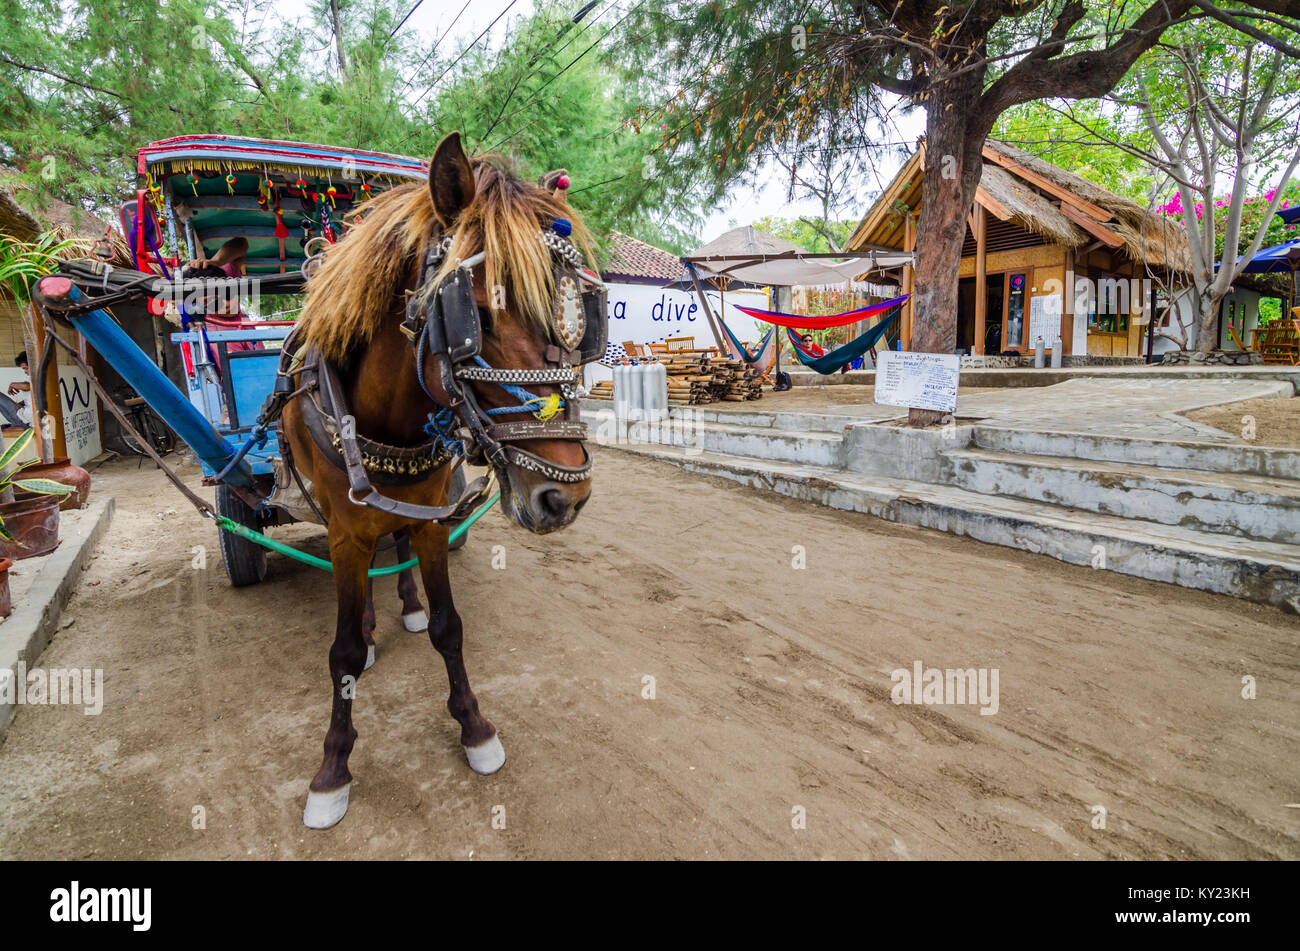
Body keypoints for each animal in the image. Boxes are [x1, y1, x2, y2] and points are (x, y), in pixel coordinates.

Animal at [284, 129, 598, 826]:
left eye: (579, 322)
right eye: (471, 315)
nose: (565, 497)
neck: (391, 424)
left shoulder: (431, 519)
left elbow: (450, 627)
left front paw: (474, 728)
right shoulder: (344, 533)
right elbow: (341, 653)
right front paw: (332, 769)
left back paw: (402, 605)